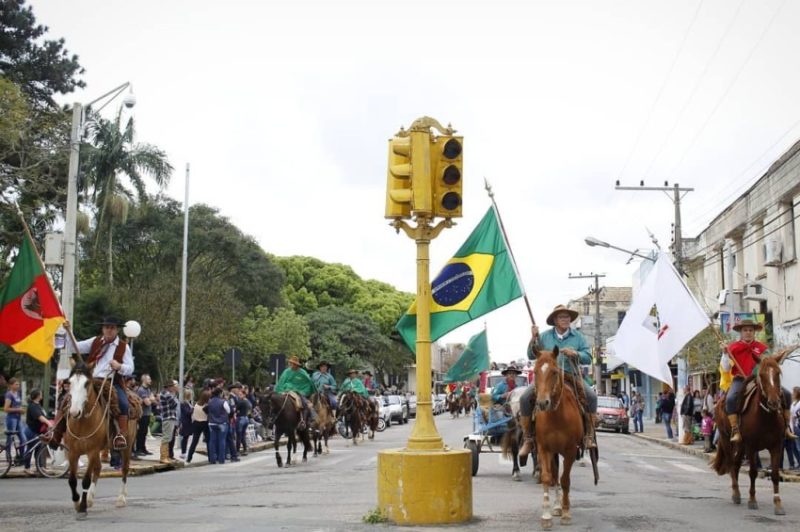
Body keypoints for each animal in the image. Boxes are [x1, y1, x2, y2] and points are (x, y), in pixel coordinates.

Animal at [64, 366, 139, 520]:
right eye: (70, 382)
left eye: (87, 384)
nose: (74, 412)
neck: (82, 423)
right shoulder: (73, 452)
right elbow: (72, 480)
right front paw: (77, 502)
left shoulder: (92, 451)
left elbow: (86, 480)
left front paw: (82, 508)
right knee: (98, 468)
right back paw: (90, 498)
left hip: (127, 445)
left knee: (125, 469)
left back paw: (121, 498)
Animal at [536, 348, 596, 528]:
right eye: (535, 371)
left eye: (555, 372)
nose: (542, 403)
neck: (556, 416)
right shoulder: (544, 448)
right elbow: (547, 477)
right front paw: (546, 516)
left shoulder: (570, 451)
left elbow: (565, 481)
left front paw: (566, 513)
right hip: (553, 452)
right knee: (554, 475)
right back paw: (556, 507)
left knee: (560, 477)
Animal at [716, 354, 792, 516]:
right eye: (761, 375)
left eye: (778, 373)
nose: (774, 402)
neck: (766, 416)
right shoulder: (751, 447)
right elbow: (752, 472)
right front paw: (752, 500)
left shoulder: (777, 446)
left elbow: (775, 474)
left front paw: (778, 503)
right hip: (726, 439)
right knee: (731, 463)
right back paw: (736, 493)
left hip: (740, 445)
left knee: (736, 464)